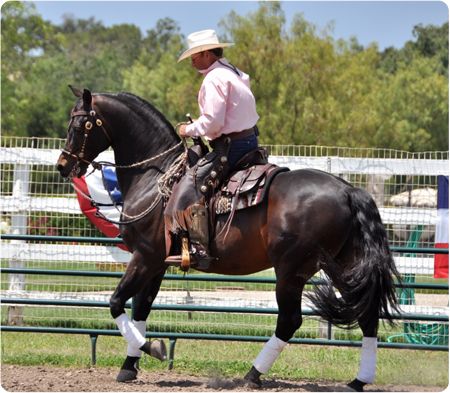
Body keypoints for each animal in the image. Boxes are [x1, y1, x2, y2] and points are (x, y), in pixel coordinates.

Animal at [57, 87, 400, 390]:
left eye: (79, 124)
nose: (63, 165)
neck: (155, 177)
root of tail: (349, 191)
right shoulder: (157, 263)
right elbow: (141, 308)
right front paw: (129, 366)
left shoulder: (145, 256)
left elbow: (116, 302)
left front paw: (151, 348)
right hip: (344, 265)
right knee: (368, 315)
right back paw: (358, 381)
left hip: (292, 270)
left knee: (290, 320)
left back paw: (253, 375)